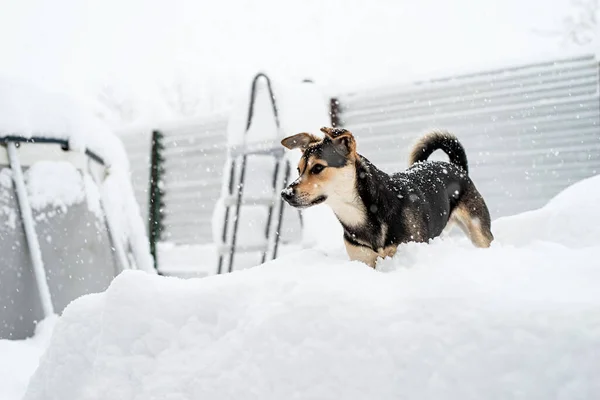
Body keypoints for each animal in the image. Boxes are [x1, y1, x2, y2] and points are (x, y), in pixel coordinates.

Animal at [280, 126, 492, 268]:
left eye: (318, 168)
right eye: (298, 170)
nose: (285, 194)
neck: (358, 213)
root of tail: (456, 166)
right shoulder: (362, 260)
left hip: (479, 232)